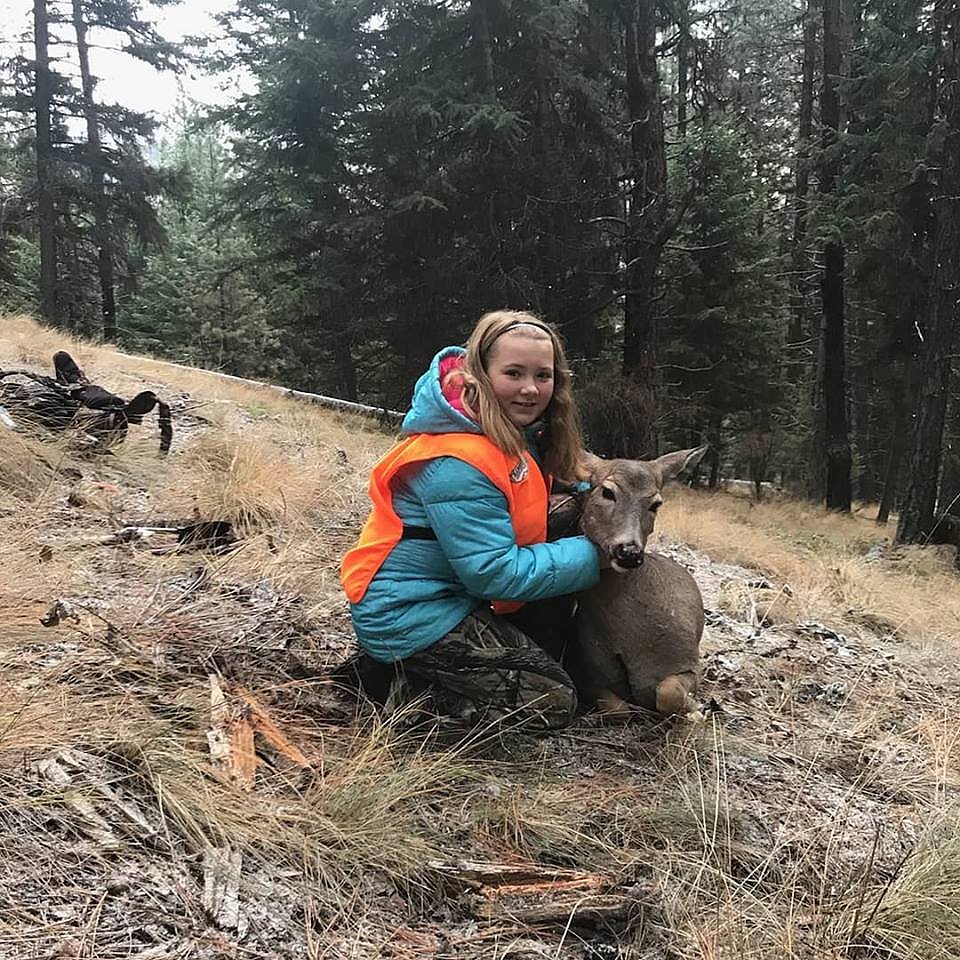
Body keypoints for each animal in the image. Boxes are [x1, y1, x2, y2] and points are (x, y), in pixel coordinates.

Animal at [548, 446, 712, 716]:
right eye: (607, 492)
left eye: (656, 504)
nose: (630, 552)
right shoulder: (582, 670)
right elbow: (620, 709)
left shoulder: (689, 663)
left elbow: (668, 693)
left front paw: (696, 711)